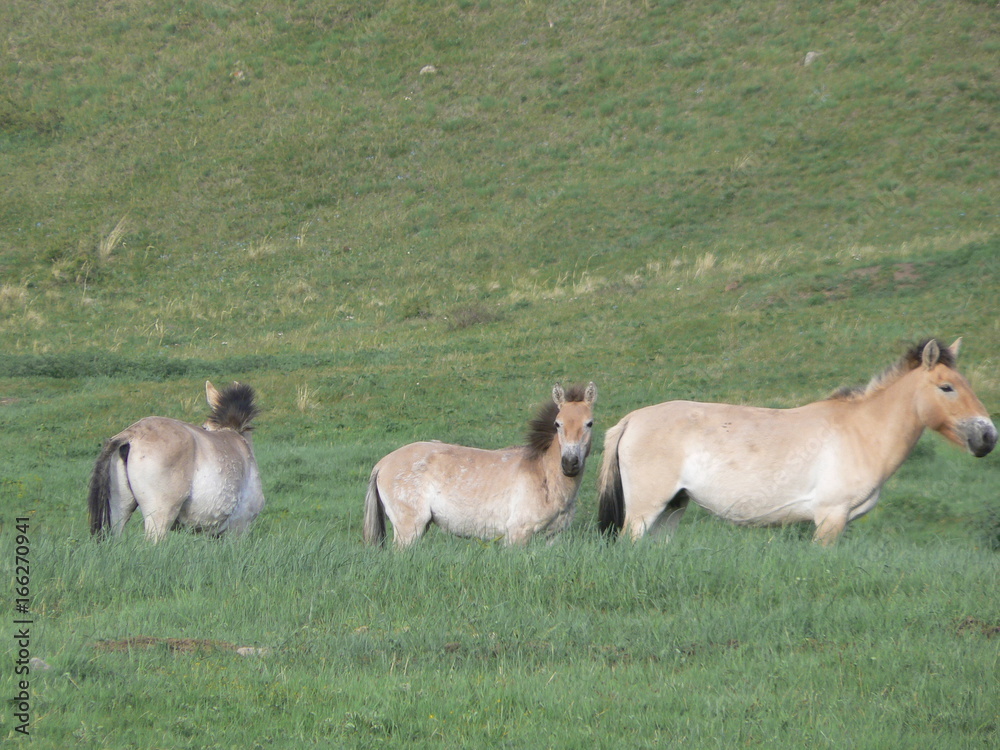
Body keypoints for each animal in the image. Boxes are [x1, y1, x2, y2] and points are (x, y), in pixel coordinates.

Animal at [364, 382, 597, 548]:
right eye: (558, 424)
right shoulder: (517, 535)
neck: (544, 475)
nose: (569, 464)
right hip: (409, 530)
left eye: (589, 423)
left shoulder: (553, 537)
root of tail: (383, 463)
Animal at [598, 339, 996, 545]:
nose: (988, 436)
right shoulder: (830, 519)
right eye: (947, 387)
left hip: (672, 508)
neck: (861, 430)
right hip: (645, 511)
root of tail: (632, 419)